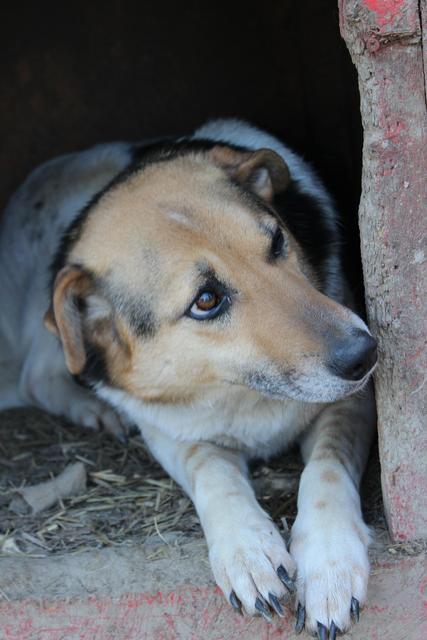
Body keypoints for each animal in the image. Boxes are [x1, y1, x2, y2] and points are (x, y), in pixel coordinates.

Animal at [0, 119, 378, 636]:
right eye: (205, 301)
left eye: (277, 242)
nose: (365, 354)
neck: (240, 390)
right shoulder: (168, 434)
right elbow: (212, 472)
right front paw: (246, 550)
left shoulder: (352, 403)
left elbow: (325, 470)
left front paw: (330, 563)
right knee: (36, 376)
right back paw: (94, 409)